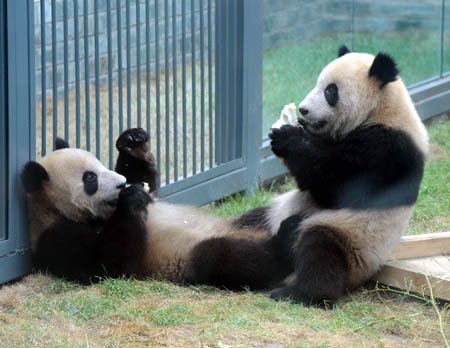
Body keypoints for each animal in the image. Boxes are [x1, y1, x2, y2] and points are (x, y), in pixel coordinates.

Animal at [21, 128, 290, 288]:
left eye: (100, 164)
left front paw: (132, 142)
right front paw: (132, 198)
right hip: (188, 255)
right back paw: (281, 243)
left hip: (241, 219)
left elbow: (148, 181)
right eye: (90, 179)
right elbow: (106, 266)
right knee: (228, 257)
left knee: (261, 215)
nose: (121, 184)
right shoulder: (54, 236)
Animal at [234, 45, 428, 304]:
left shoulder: (387, 150)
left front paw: (287, 136)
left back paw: (299, 293)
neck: (382, 110)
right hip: (272, 214)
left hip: (350, 238)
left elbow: (333, 187)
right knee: (251, 219)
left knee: (320, 251)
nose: (303, 109)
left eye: (330, 91)